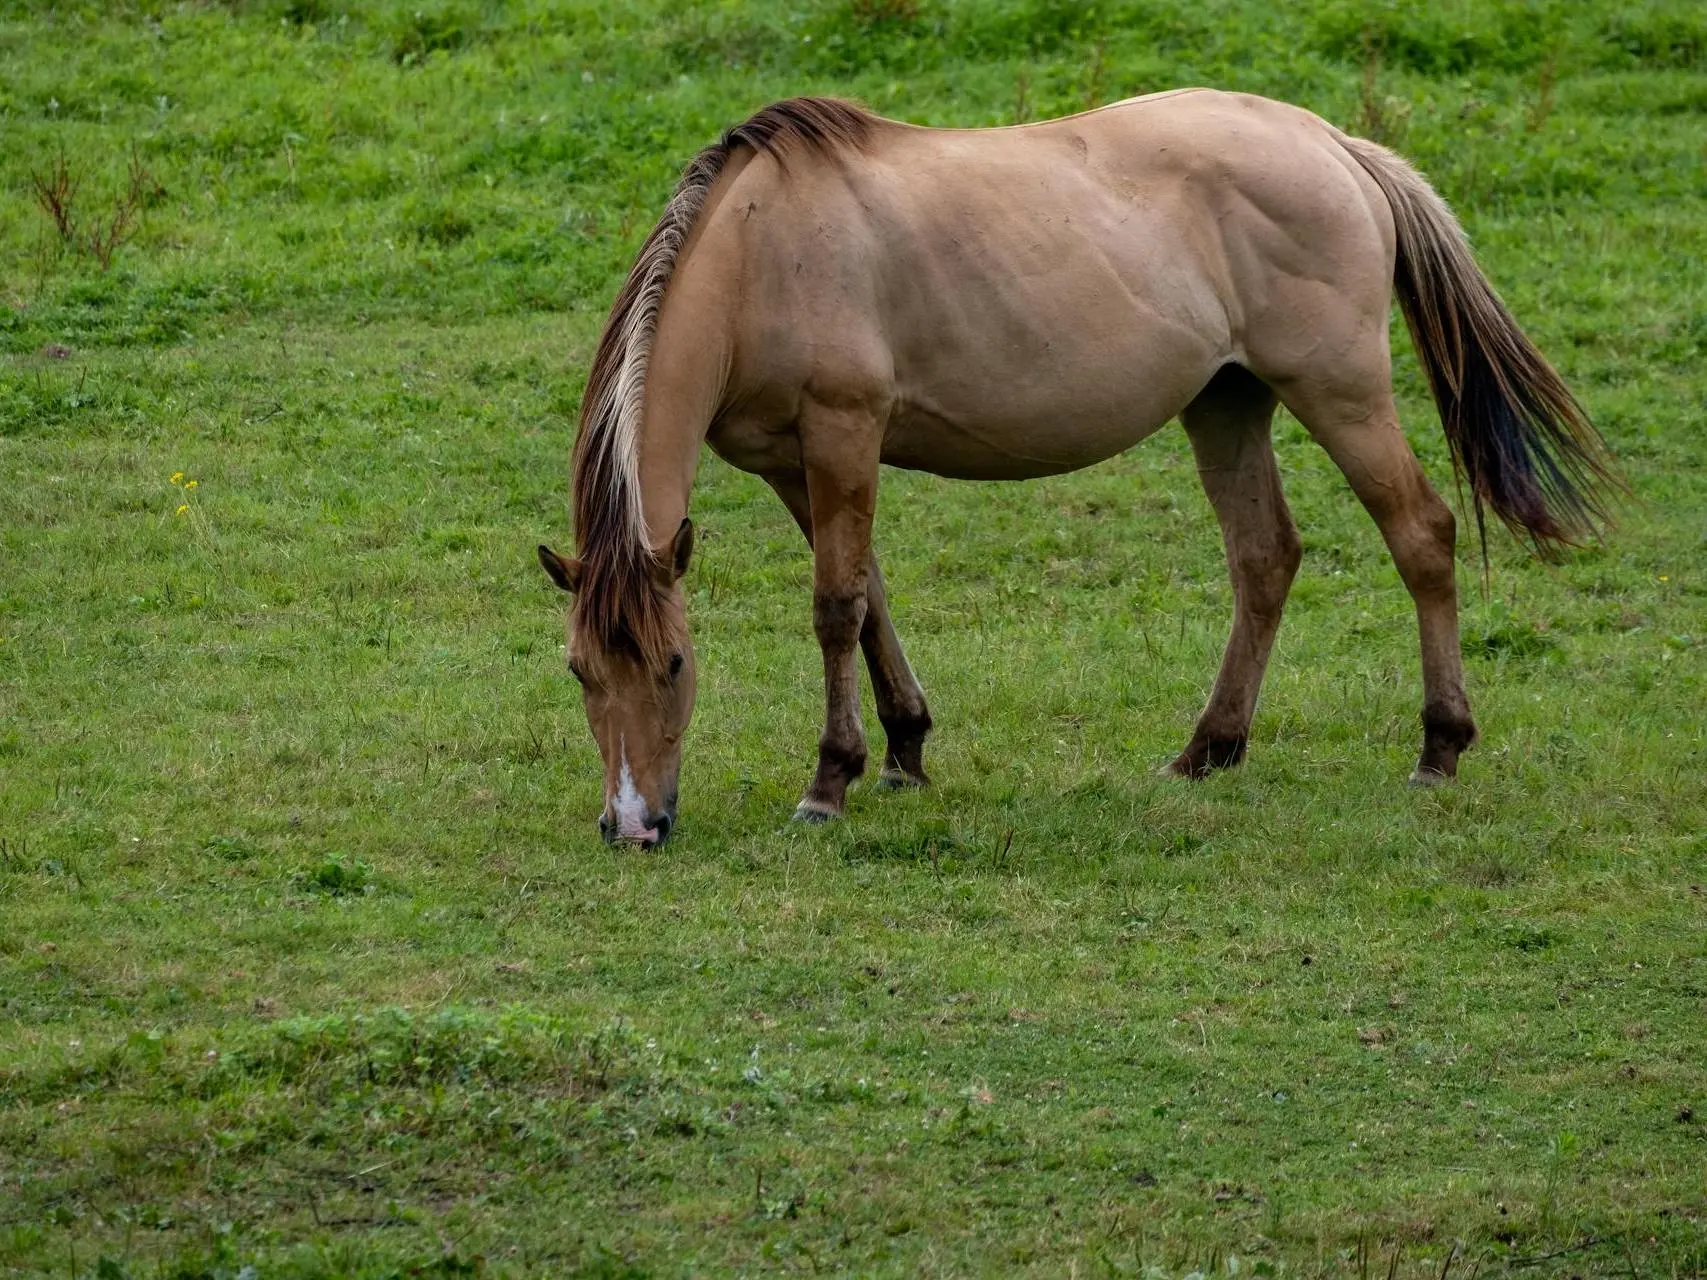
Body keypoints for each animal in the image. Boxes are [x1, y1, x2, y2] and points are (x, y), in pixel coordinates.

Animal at [542, 92, 1611, 853]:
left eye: (674, 665)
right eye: (579, 670)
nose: (632, 825)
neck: (759, 249)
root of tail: (1332, 145)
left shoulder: (842, 437)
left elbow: (836, 608)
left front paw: (830, 782)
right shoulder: (794, 467)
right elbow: (871, 595)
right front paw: (905, 751)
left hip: (1339, 391)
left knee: (1420, 534)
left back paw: (1437, 749)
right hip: (1225, 404)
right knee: (1264, 557)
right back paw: (1207, 750)